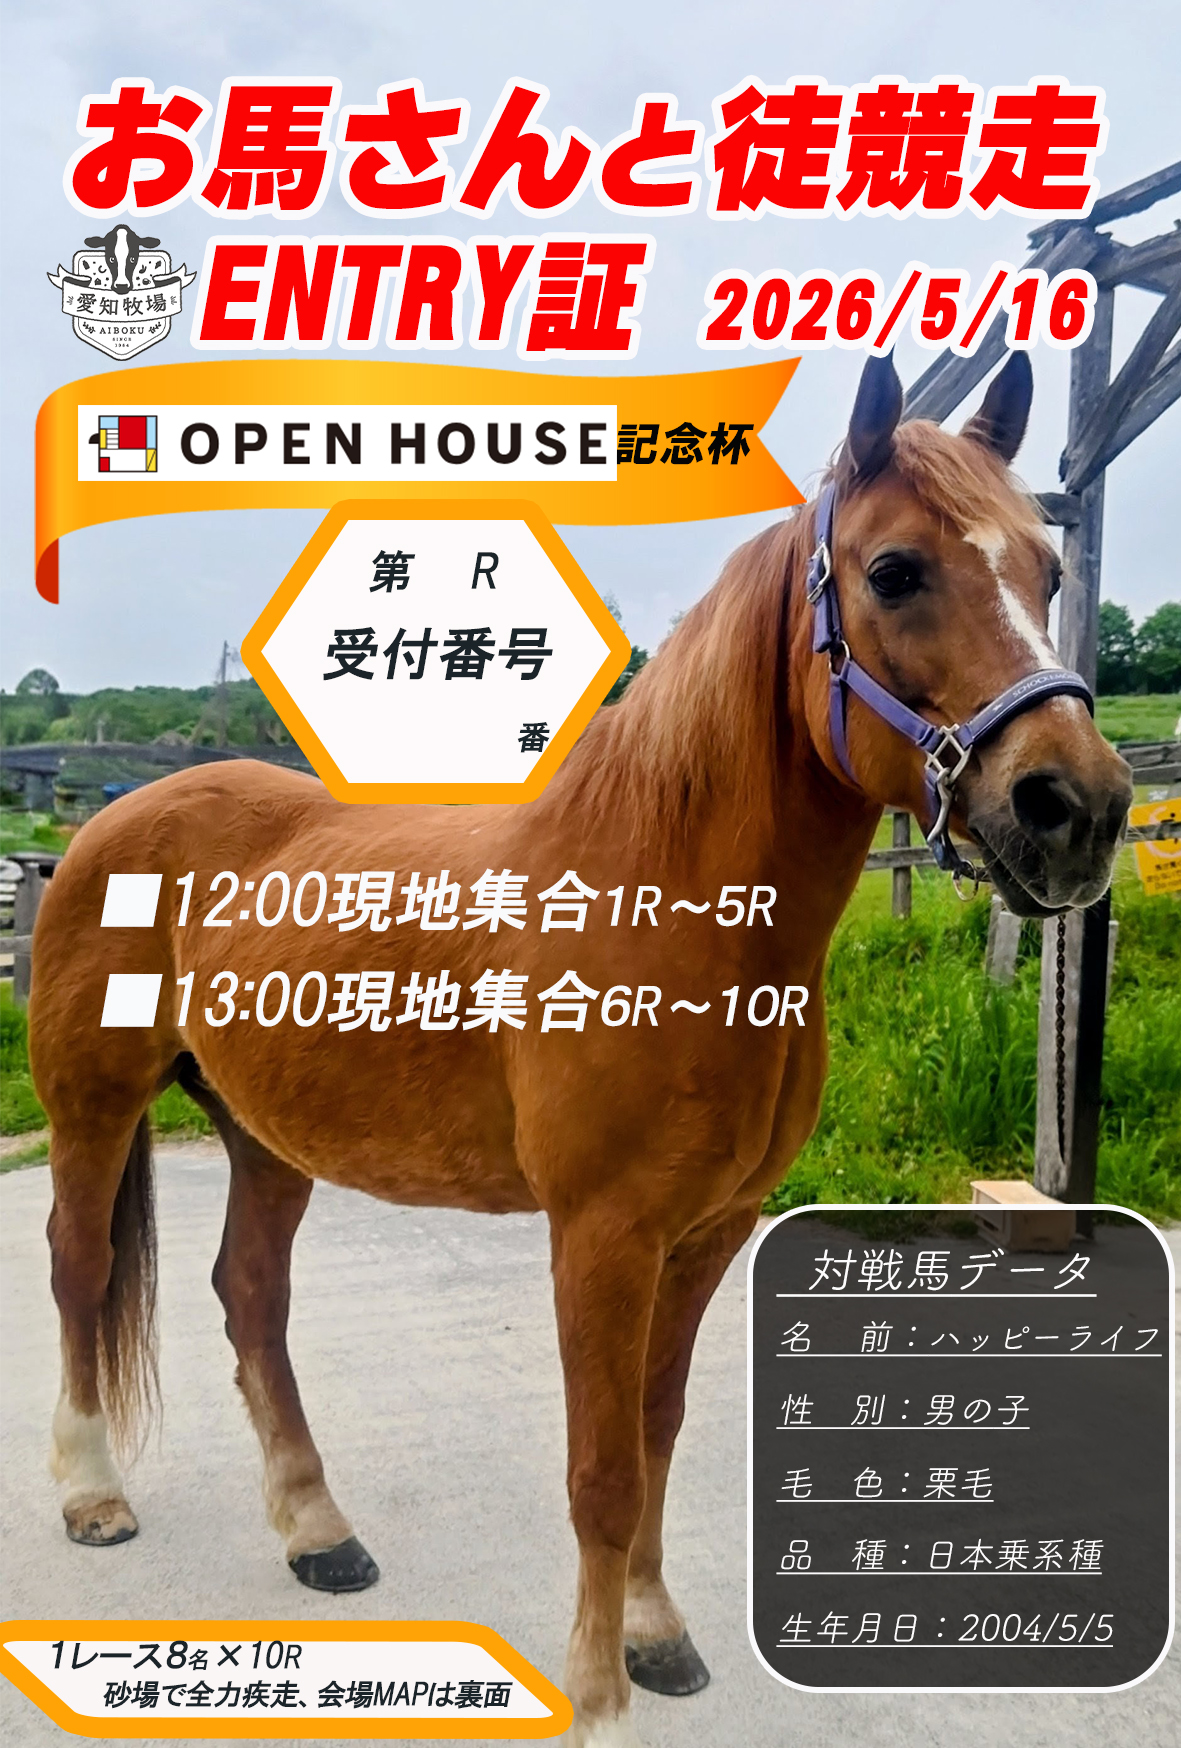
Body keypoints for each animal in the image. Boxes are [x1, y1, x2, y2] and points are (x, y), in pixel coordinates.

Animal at [28, 351, 1132, 1747]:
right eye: (892, 571)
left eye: (1045, 570)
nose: (1076, 806)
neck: (663, 898)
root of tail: (112, 821)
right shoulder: (599, 1233)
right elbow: (601, 1468)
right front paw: (597, 1692)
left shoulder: (705, 1230)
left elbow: (654, 1435)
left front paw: (654, 1635)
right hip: (94, 1100)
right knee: (77, 1269)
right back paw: (92, 1493)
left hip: (264, 1129)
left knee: (251, 1295)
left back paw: (316, 1528)